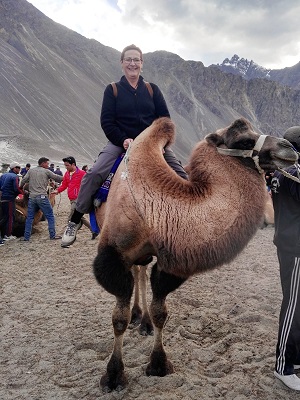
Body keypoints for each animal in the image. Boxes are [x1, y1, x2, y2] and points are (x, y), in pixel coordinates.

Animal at [93, 115, 298, 390]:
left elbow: (160, 313)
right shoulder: (112, 257)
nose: (289, 148)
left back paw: (142, 319)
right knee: (136, 274)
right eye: (245, 140)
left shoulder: (170, 264)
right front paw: (113, 376)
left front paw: (158, 364)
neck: (154, 211)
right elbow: (119, 319)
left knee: (140, 272)